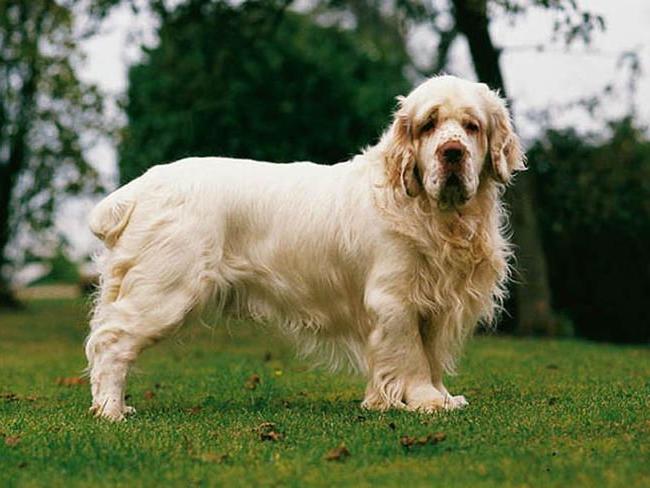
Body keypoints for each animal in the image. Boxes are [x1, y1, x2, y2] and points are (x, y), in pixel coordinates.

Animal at [85, 75, 520, 420]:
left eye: (472, 126)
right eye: (429, 125)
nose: (453, 153)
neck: (434, 214)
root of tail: (140, 188)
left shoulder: (434, 301)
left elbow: (430, 355)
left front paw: (441, 396)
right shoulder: (395, 299)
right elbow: (410, 355)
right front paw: (425, 400)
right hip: (165, 290)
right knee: (111, 342)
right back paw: (111, 410)